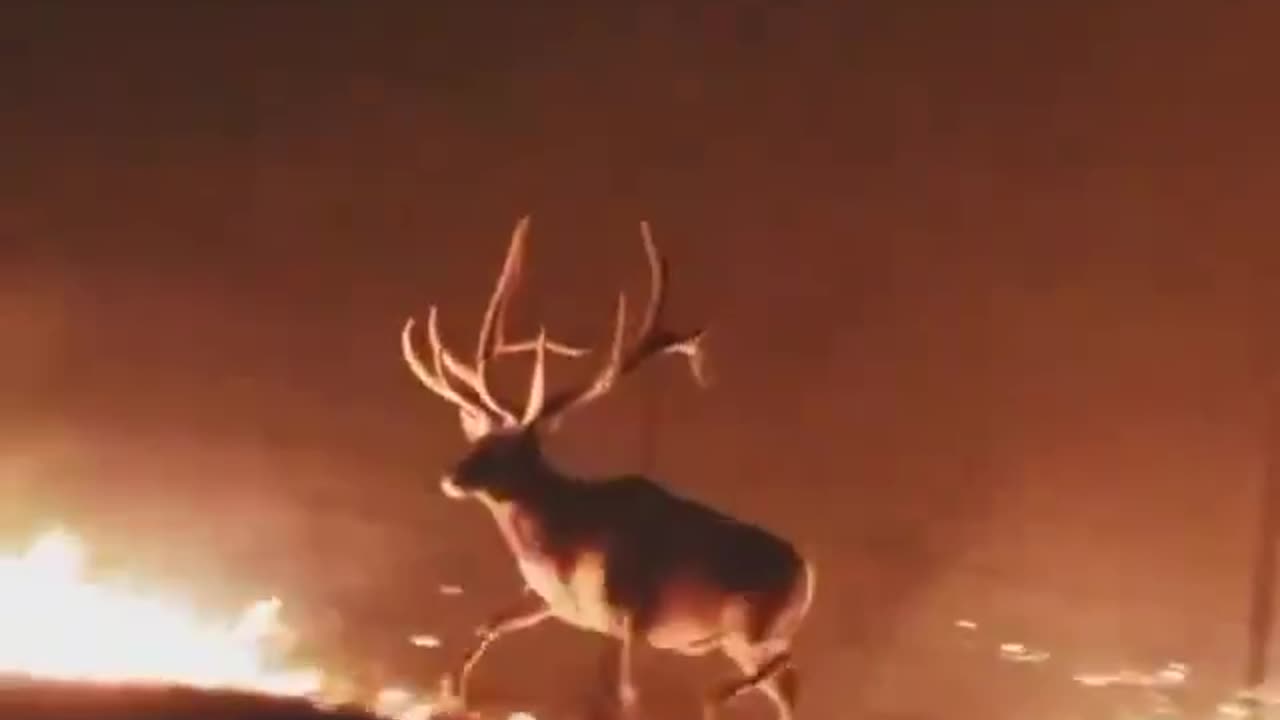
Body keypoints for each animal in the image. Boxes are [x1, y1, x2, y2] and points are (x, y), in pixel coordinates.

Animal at [399, 215, 819, 712]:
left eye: (507, 449)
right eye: (479, 438)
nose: (451, 477)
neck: (559, 536)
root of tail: (809, 574)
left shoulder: (630, 614)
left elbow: (624, 693)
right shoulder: (548, 601)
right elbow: (486, 627)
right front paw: (451, 693)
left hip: (754, 629)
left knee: (784, 671)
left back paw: (715, 697)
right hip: (744, 641)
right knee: (787, 685)